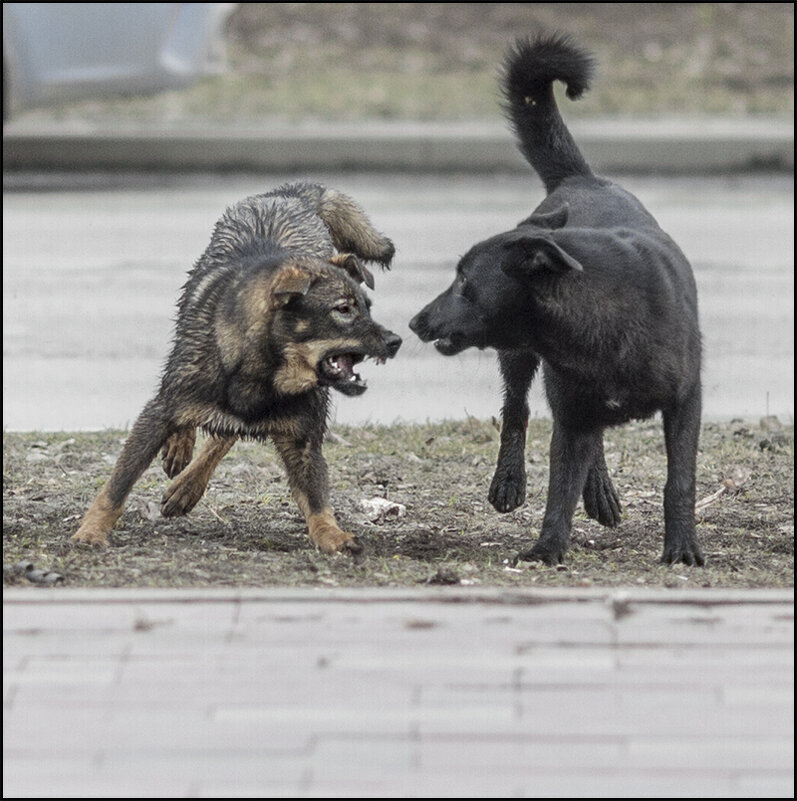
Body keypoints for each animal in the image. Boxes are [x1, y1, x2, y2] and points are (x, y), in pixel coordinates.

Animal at [410, 34, 704, 564]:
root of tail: (580, 178)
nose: (415, 321)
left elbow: (680, 480)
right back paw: (517, 481)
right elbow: (559, 484)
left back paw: (601, 491)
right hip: (519, 359)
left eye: (463, 281)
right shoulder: (569, 412)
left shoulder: (686, 401)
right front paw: (547, 547)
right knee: (517, 411)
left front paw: (682, 548)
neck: (600, 321)